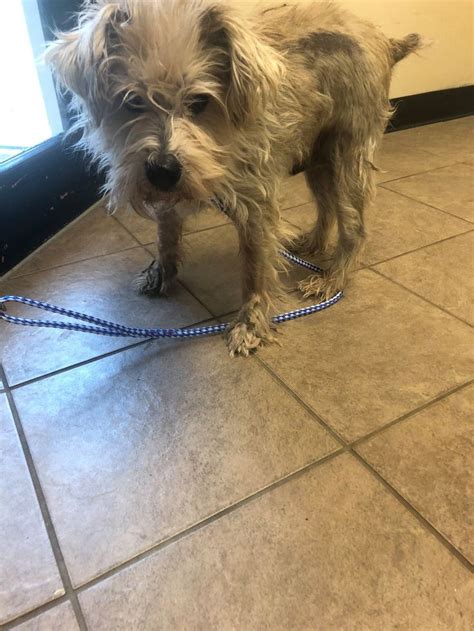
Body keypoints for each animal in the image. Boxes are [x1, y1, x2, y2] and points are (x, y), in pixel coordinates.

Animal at [46, 0, 420, 356]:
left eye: (199, 101)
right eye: (133, 101)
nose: (163, 169)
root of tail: (384, 42)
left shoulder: (257, 207)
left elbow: (255, 268)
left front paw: (251, 322)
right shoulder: (168, 196)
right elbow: (165, 237)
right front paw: (163, 272)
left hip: (347, 157)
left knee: (354, 227)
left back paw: (333, 279)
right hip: (319, 156)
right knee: (327, 205)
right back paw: (314, 243)